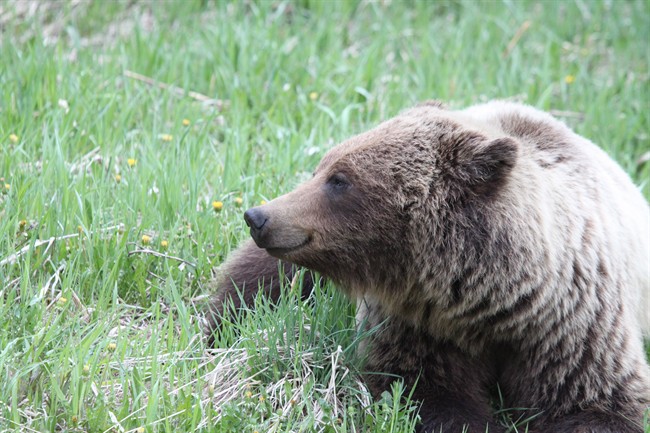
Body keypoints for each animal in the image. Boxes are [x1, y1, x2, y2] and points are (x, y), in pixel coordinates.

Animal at [207, 100, 650, 433]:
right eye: (322, 169)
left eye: (340, 180)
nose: (259, 216)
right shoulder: (418, 322)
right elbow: (427, 392)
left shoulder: (570, 327)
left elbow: (593, 403)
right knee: (254, 282)